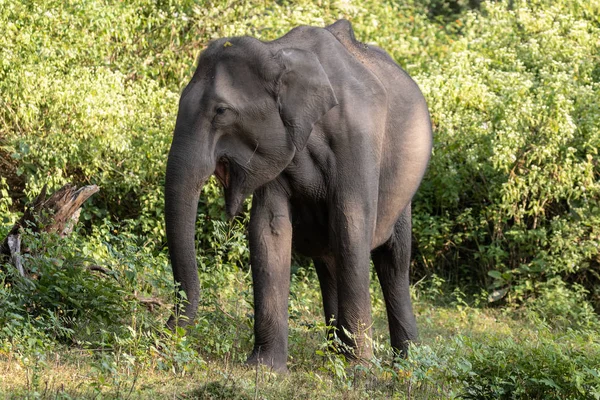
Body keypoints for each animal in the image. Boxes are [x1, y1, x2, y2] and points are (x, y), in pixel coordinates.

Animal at [164, 18, 432, 372]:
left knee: (393, 260)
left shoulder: (357, 135)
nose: (166, 330)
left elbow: (351, 223)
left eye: (221, 111)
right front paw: (264, 368)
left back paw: (405, 363)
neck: (277, 51)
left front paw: (359, 369)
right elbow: (268, 229)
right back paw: (334, 355)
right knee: (329, 260)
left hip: (404, 190)